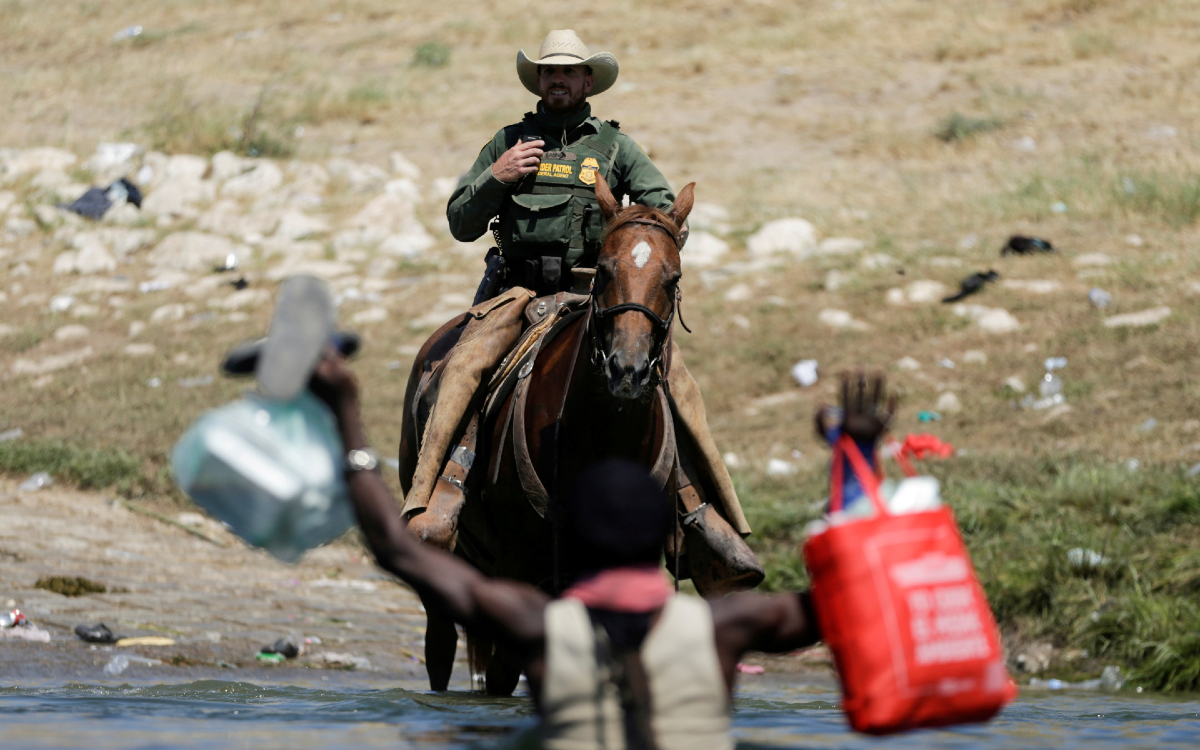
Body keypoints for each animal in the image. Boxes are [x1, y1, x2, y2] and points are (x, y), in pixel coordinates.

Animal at [400, 172, 758, 691]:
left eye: (673, 280)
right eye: (603, 271)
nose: (627, 370)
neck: (601, 445)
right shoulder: (518, 563)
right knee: (442, 646)